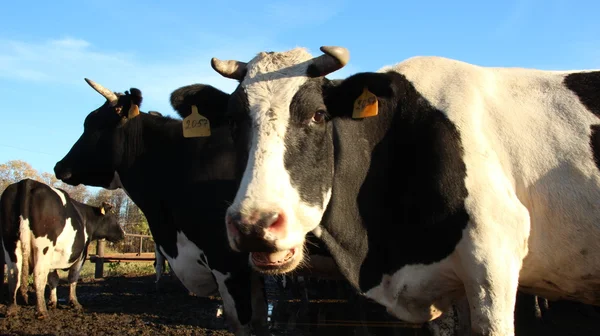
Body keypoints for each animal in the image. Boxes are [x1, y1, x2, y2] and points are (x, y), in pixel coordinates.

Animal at [0, 178, 124, 318]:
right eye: (112, 217)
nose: (123, 234)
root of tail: (28, 181)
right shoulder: (82, 255)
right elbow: (73, 277)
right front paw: (74, 303)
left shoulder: (53, 257)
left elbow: (53, 279)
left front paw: (53, 302)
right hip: (43, 248)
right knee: (38, 276)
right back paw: (42, 311)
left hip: (10, 244)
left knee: (13, 275)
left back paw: (12, 309)